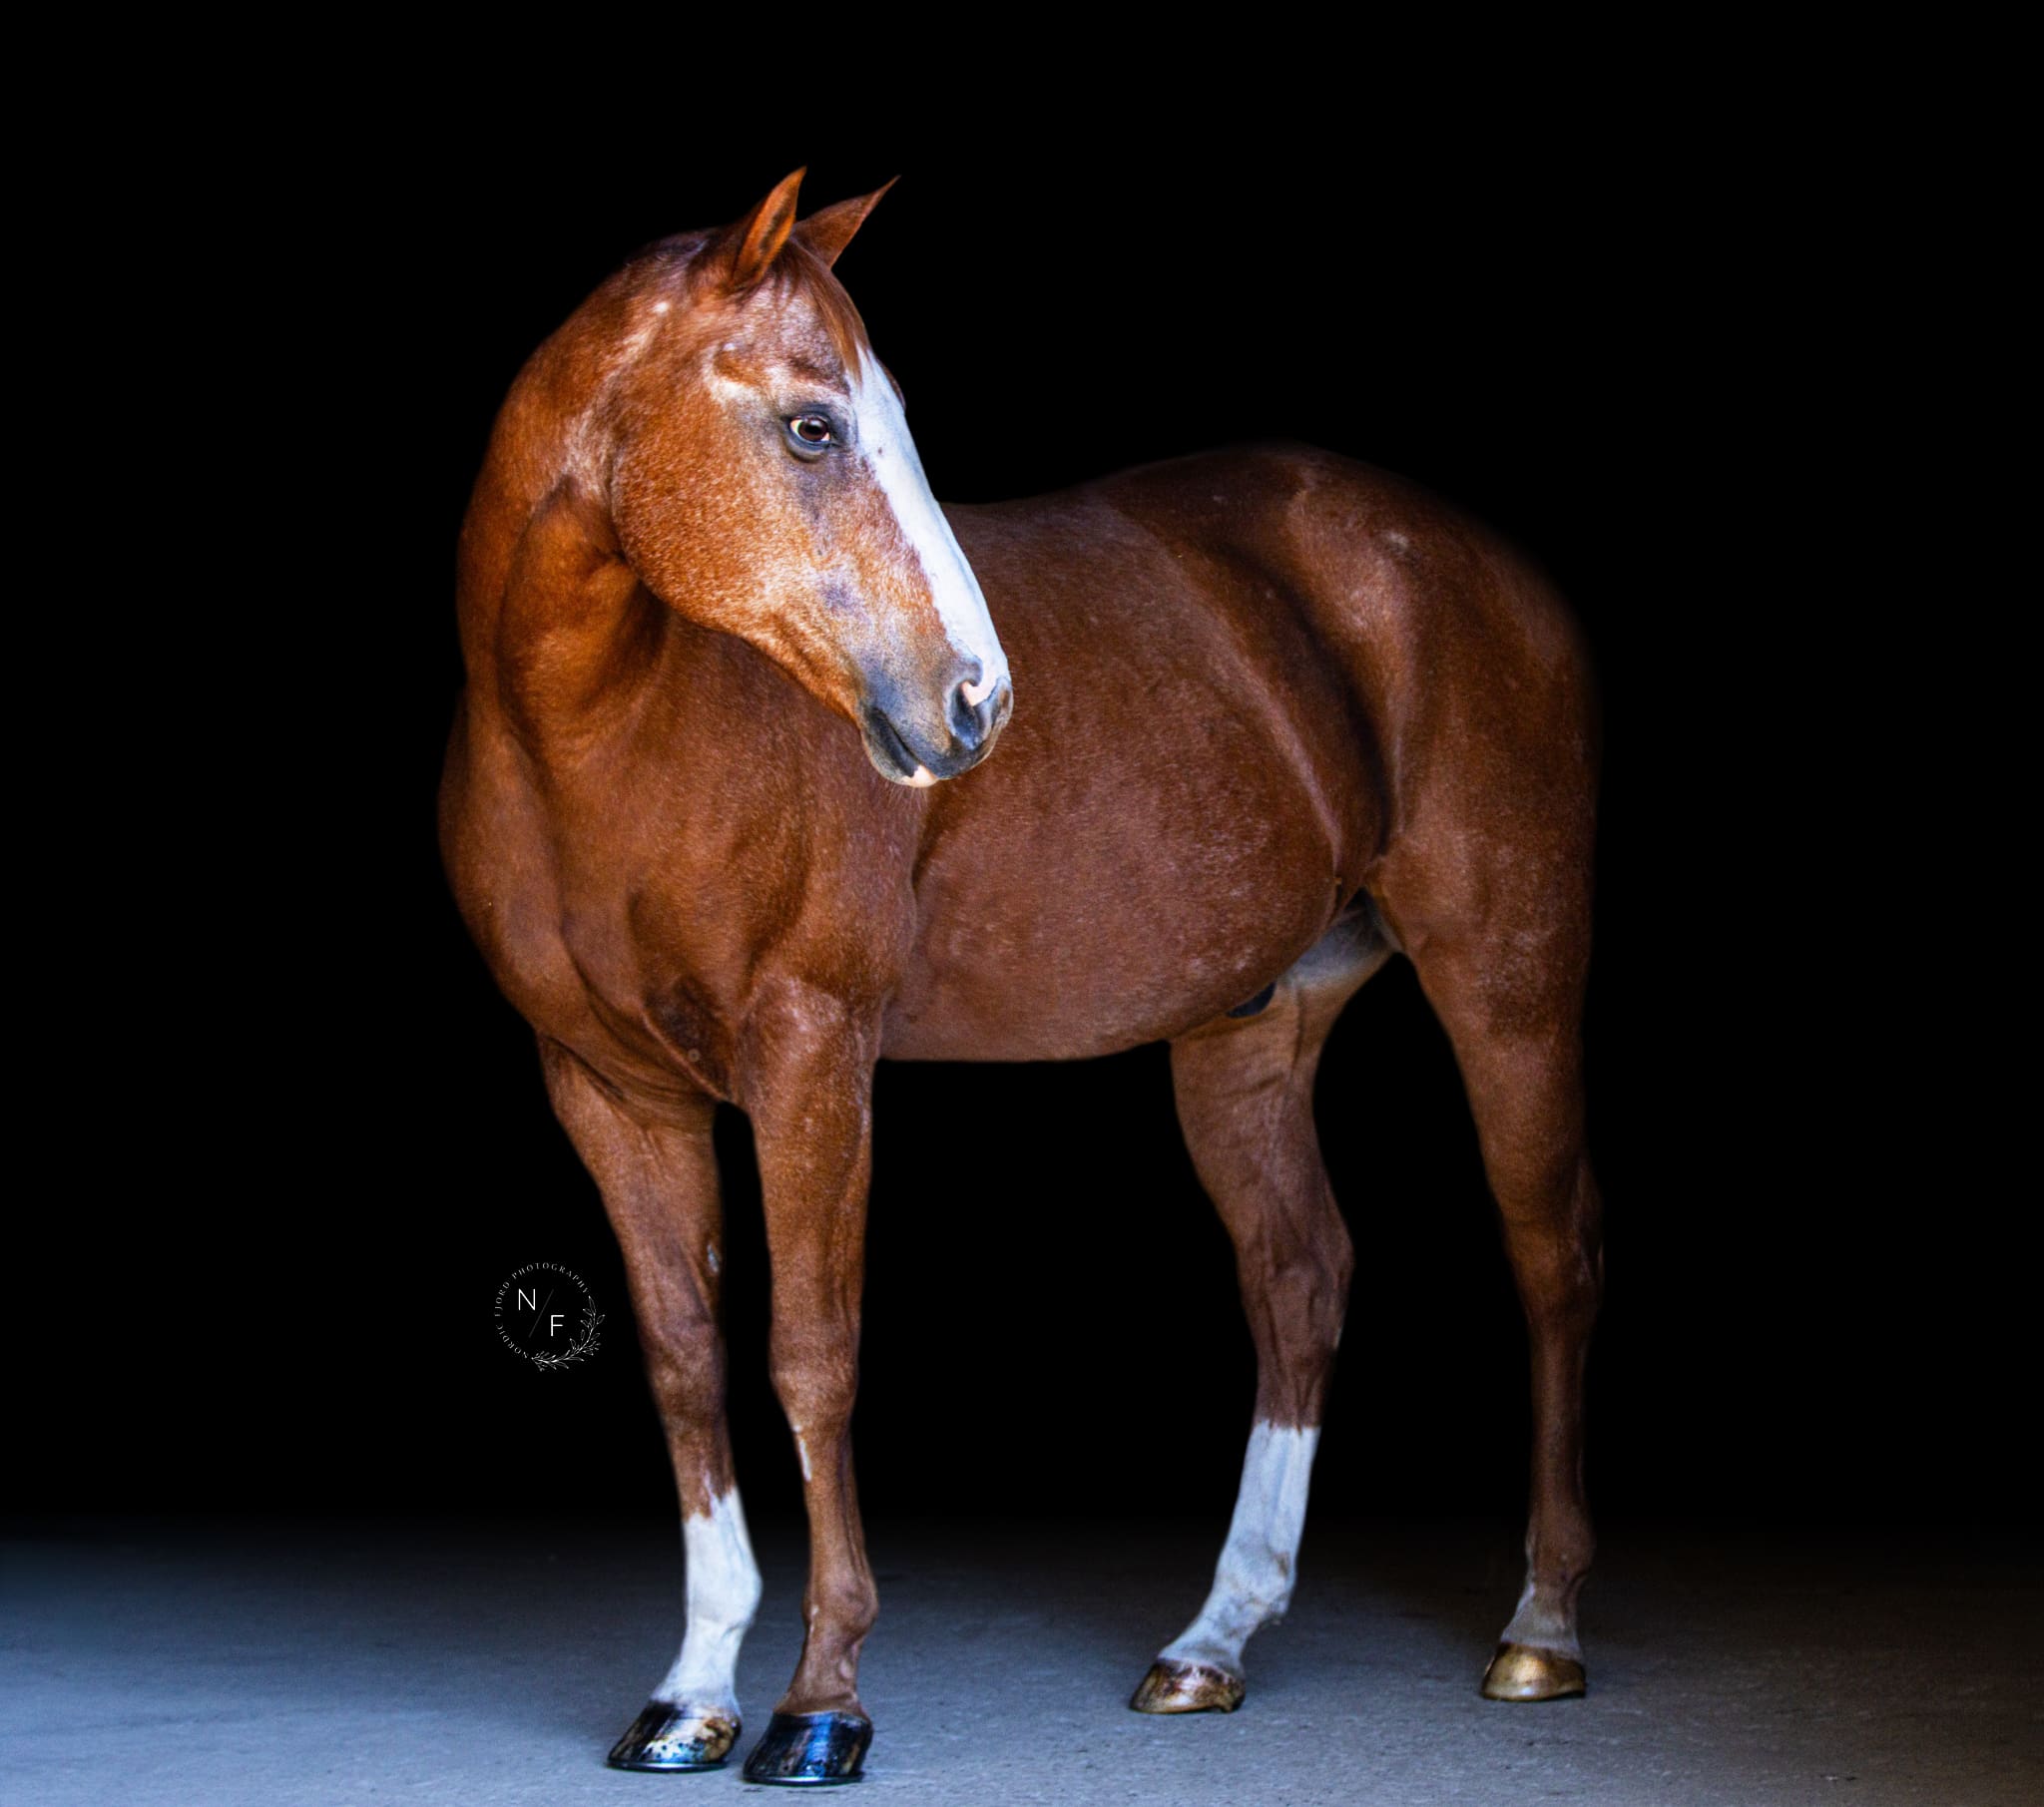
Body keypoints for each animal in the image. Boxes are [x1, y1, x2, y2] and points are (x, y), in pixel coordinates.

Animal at [439, 168, 1604, 1785]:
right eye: (814, 424)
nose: (977, 701)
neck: (603, 734)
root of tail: (1471, 561)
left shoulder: (811, 1057)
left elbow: (811, 1355)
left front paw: (821, 1700)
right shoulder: (606, 1090)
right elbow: (681, 1360)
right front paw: (691, 1689)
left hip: (1508, 971)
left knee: (1550, 1255)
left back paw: (1541, 1624)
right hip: (1248, 1029)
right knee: (1298, 1275)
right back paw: (1213, 1638)